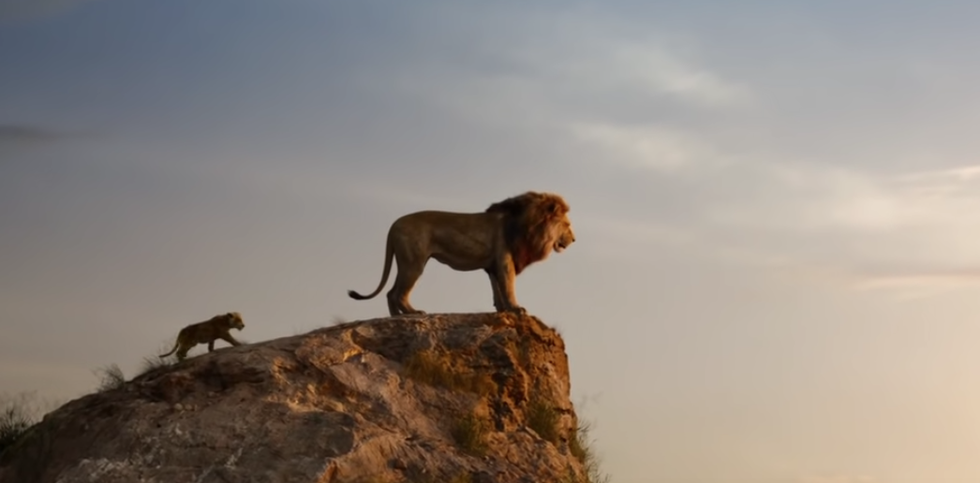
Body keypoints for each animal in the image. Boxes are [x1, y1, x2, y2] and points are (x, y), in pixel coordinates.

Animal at [347, 191, 575, 316]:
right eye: (566, 225)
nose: (574, 240)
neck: (529, 226)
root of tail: (393, 225)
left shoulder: (493, 264)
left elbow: (497, 289)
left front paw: (502, 310)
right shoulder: (505, 260)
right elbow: (508, 287)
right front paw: (516, 309)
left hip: (405, 262)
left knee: (390, 293)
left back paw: (396, 318)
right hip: (414, 263)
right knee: (398, 293)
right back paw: (413, 313)